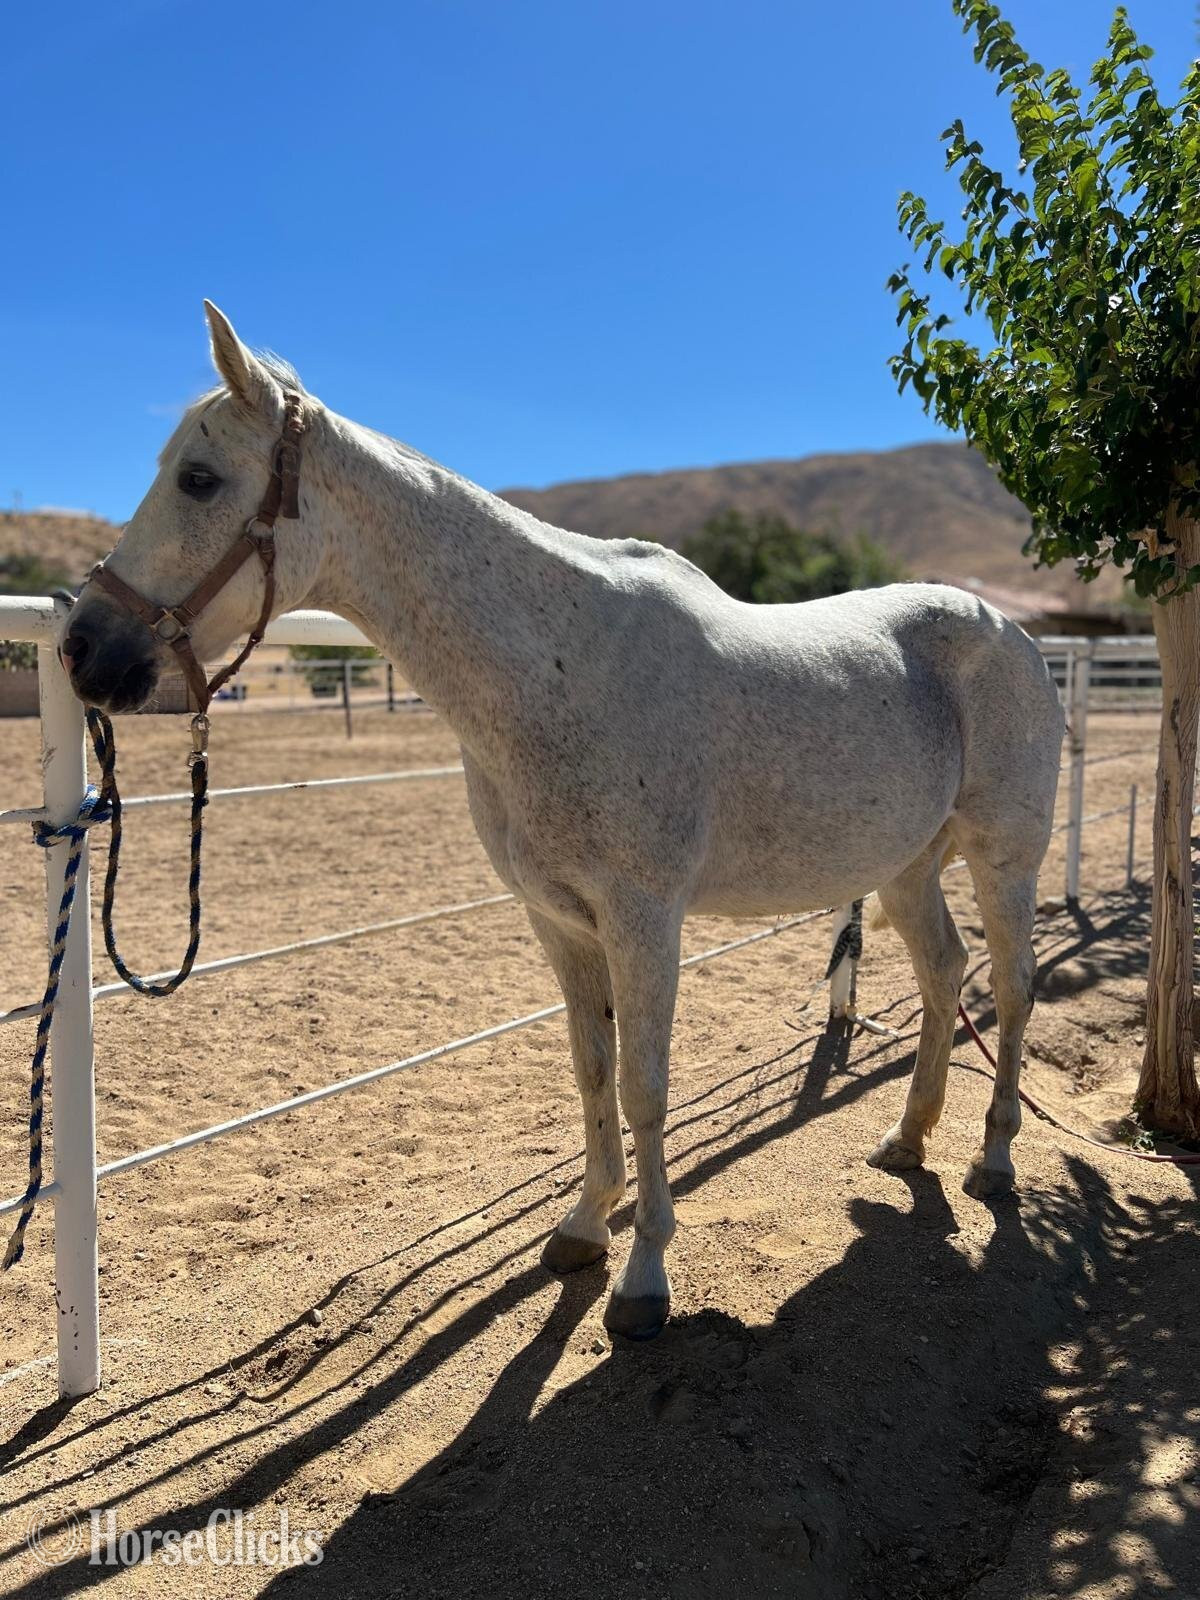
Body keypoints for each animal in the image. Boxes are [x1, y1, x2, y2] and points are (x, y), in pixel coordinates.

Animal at [62, 302, 1064, 1340]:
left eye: (199, 477)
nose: (82, 646)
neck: (556, 666)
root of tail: (1012, 631)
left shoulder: (642, 920)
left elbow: (645, 1086)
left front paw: (646, 1278)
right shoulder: (558, 921)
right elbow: (590, 1072)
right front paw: (586, 1227)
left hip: (1006, 858)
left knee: (1013, 986)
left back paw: (993, 1157)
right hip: (907, 867)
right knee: (946, 972)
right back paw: (908, 1140)